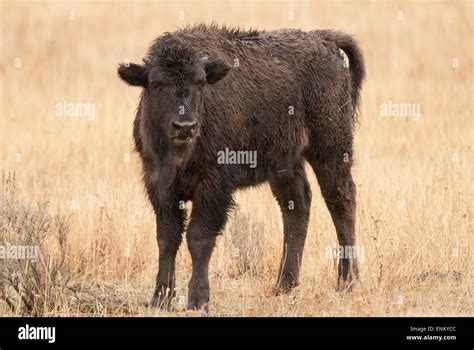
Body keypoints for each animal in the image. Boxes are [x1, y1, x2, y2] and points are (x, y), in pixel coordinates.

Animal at [118, 24, 366, 310]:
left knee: (341, 202)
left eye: (200, 82)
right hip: (285, 164)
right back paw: (284, 284)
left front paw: (198, 300)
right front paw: (159, 299)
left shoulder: (214, 186)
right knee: (297, 206)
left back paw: (347, 282)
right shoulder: (159, 187)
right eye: (156, 84)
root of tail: (323, 40)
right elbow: (167, 239)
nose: (185, 126)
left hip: (330, 149)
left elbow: (198, 238)